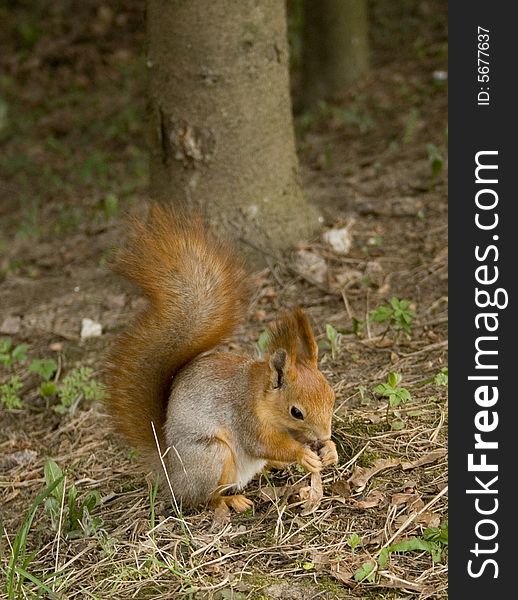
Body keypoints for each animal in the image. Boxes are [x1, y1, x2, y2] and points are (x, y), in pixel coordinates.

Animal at [105, 204, 342, 512]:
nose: (324, 436)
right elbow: (262, 443)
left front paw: (330, 450)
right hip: (213, 456)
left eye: (332, 397)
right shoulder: (246, 419)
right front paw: (303, 455)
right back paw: (233, 500)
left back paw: (275, 466)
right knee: (206, 498)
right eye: (296, 412)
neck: (262, 397)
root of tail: (172, 473)